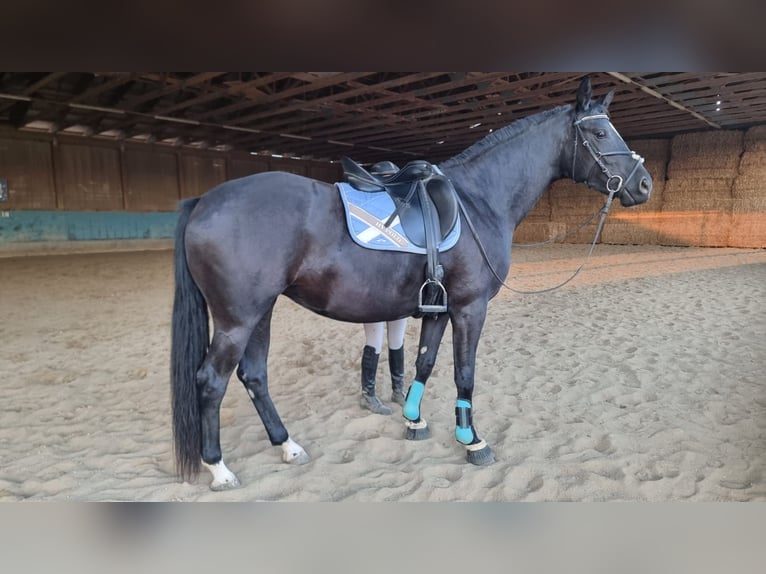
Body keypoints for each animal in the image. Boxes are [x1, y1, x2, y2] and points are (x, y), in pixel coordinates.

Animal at [170, 76, 652, 490]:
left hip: (261, 312)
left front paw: (414, 420)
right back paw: (219, 469)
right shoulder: (470, 308)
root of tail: (204, 200)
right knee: (211, 381)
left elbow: (424, 362)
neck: (477, 202)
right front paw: (472, 440)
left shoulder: (438, 308)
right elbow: (464, 373)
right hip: (237, 319)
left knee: (254, 376)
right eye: (602, 133)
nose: (645, 184)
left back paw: (287, 445)